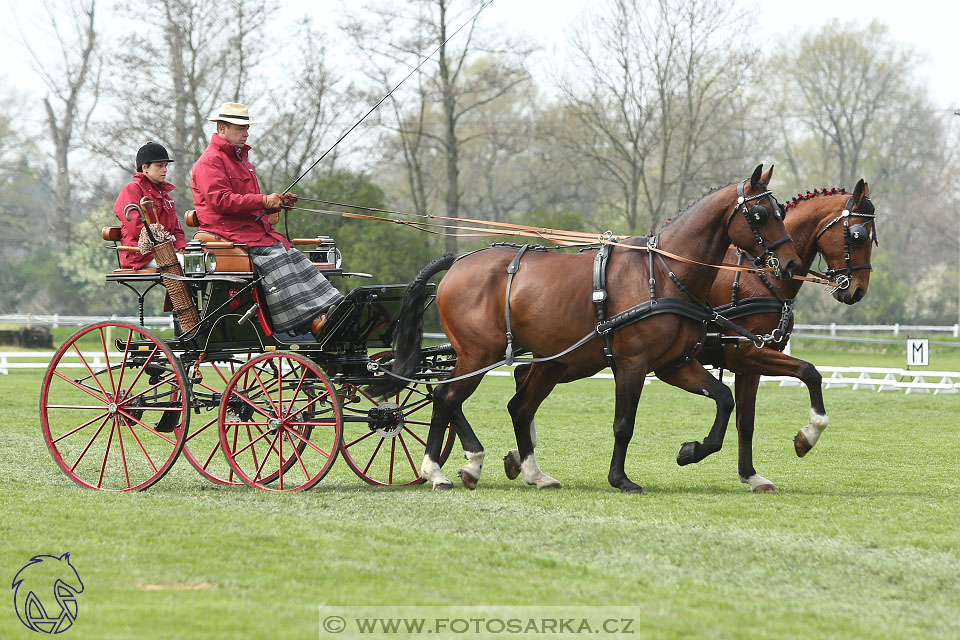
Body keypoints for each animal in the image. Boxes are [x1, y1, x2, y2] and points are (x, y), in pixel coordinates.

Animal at [376, 162, 804, 492]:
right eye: (760, 215)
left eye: (781, 212)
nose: (791, 264)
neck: (663, 274)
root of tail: (460, 260)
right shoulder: (632, 364)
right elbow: (624, 424)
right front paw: (621, 479)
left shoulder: (674, 364)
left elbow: (724, 400)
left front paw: (692, 451)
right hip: (480, 354)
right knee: (448, 397)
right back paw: (452, 467)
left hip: (542, 360)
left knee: (505, 405)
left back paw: (524, 472)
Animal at [510, 178, 876, 492]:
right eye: (857, 235)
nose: (857, 290)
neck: (758, 277)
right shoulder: (747, 354)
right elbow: (809, 372)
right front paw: (807, 436)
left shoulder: (749, 364)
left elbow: (747, 420)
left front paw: (751, 475)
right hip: (573, 358)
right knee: (524, 391)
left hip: (573, 361)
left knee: (522, 379)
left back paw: (519, 458)